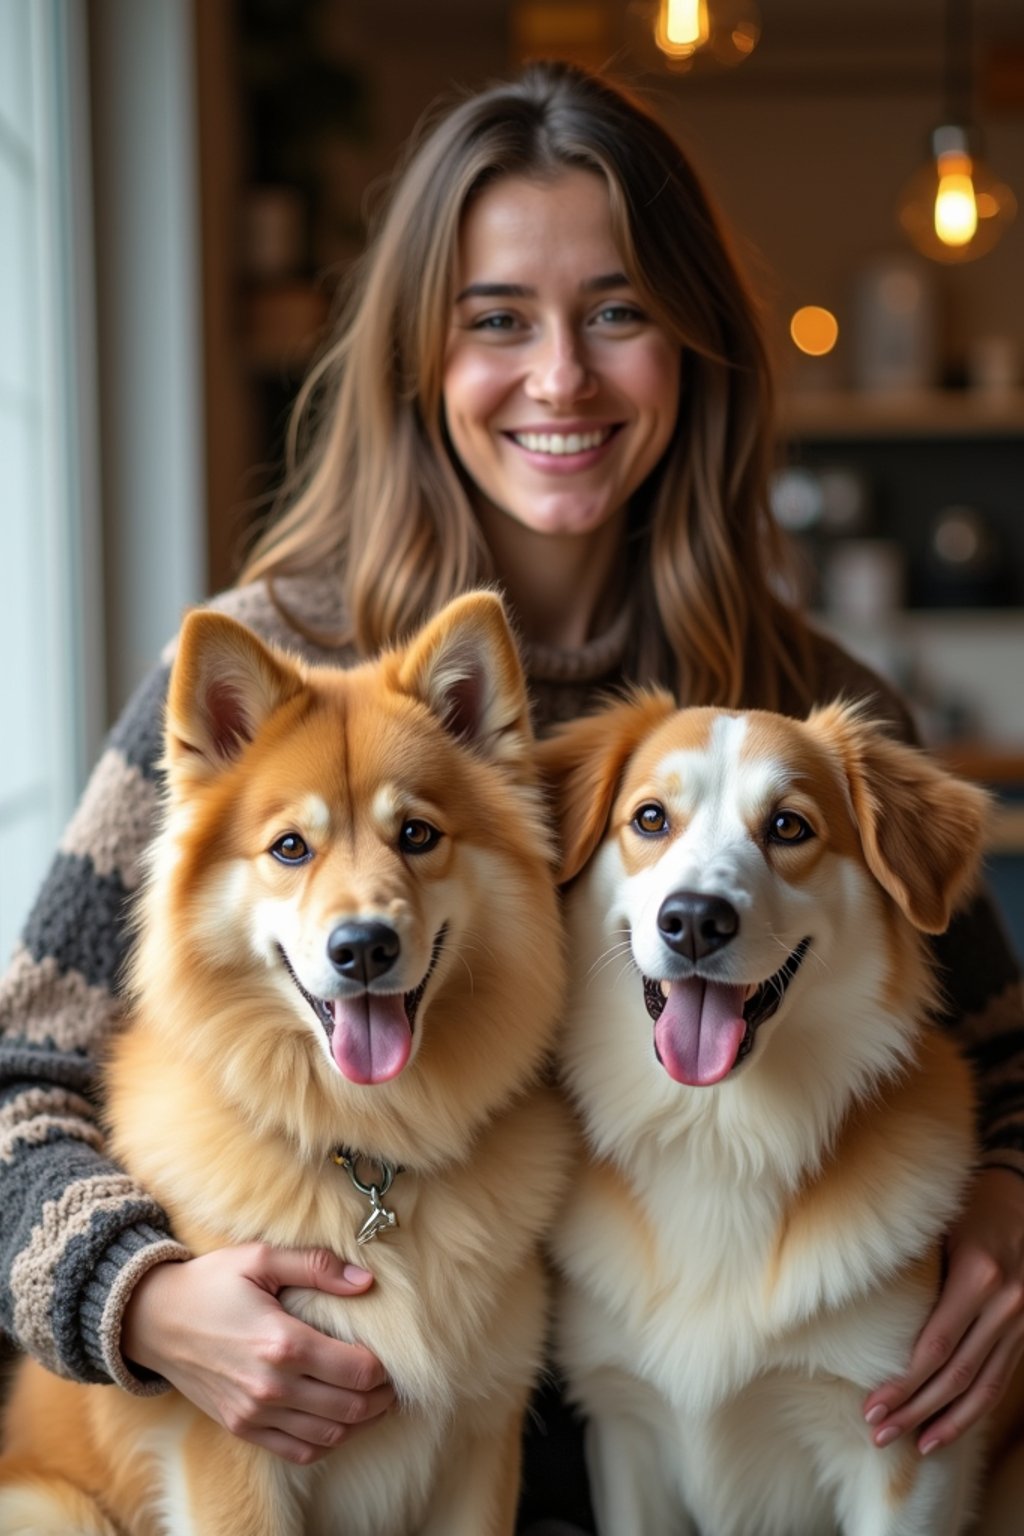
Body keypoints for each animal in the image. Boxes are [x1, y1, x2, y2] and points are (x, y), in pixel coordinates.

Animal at [540, 697, 1019, 1536]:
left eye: (789, 827)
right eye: (651, 818)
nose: (694, 920)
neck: (717, 1137)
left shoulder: (901, 1453)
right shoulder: (625, 1427)